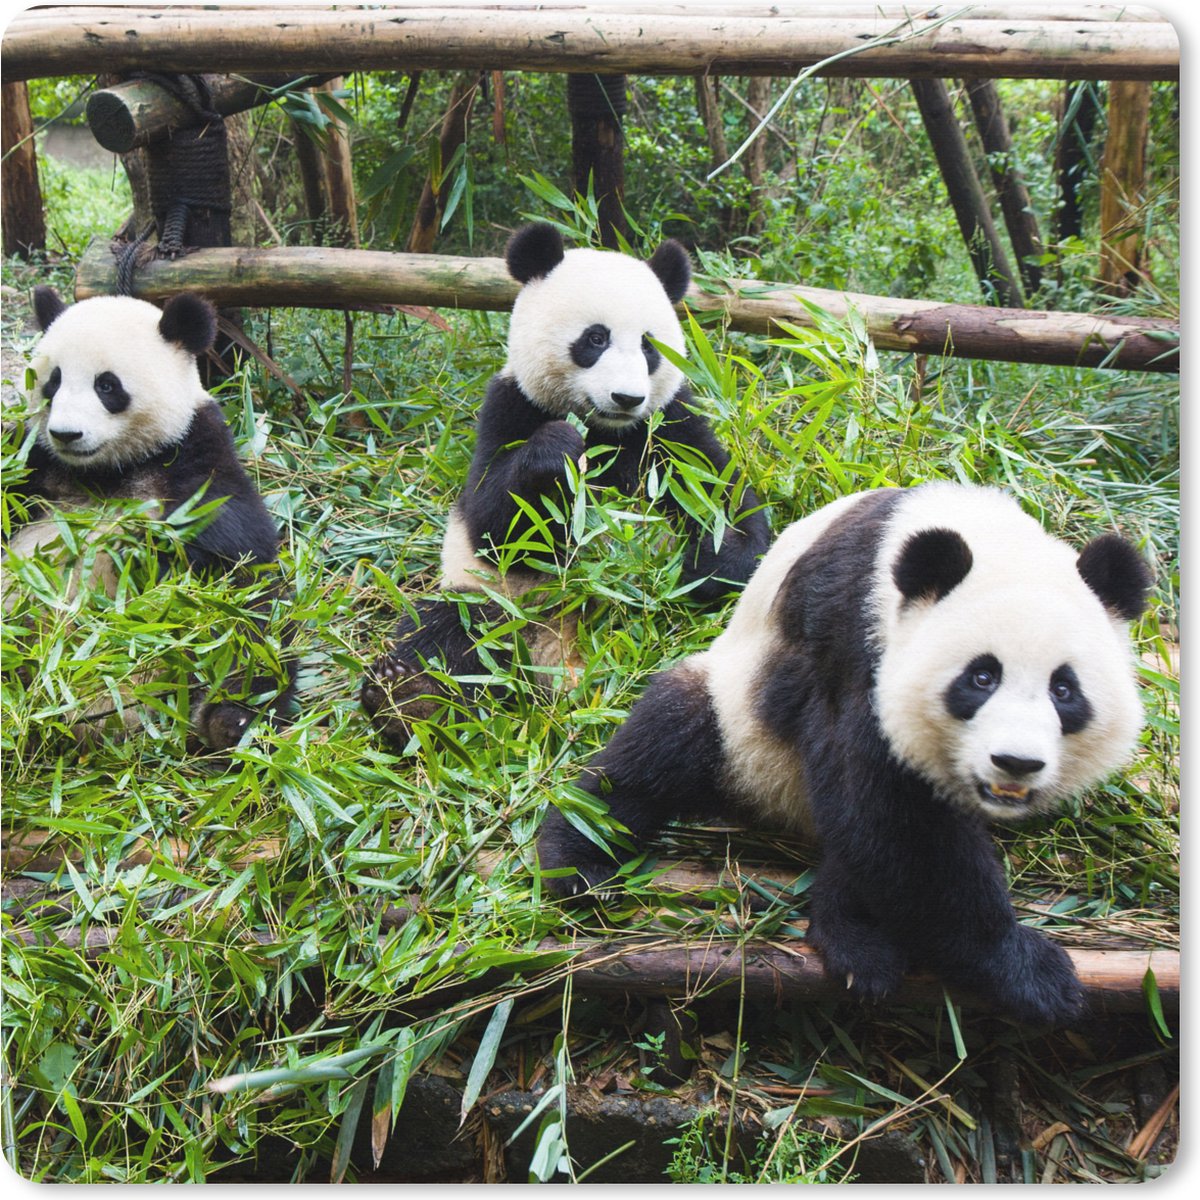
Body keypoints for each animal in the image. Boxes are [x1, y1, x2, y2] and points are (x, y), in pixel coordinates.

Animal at [4, 286, 294, 749]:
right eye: (53, 382)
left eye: (107, 385)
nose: (66, 434)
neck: (105, 470)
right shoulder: (32, 461)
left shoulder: (195, 457)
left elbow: (236, 554)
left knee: (250, 643)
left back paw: (230, 723)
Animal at [361, 222, 770, 747]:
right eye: (595, 338)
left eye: (648, 346)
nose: (627, 397)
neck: (607, 430)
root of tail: (559, 665)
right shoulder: (509, 405)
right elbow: (491, 522)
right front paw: (558, 451)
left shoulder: (671, 426)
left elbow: (726, 503)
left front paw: (703, 561)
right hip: (497, 606)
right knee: (449, 632)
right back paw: (409, 701)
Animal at [537, 482, 1154, 1026]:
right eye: (981, 677)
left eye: (1064, 690)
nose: (1015, 763)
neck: (983, 536)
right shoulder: (855, 638)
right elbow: (892, 815)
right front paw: (1029, 969)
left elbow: (879, 830)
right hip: (739, 725)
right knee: (660, 749)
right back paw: (579, 861)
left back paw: (851, 935)